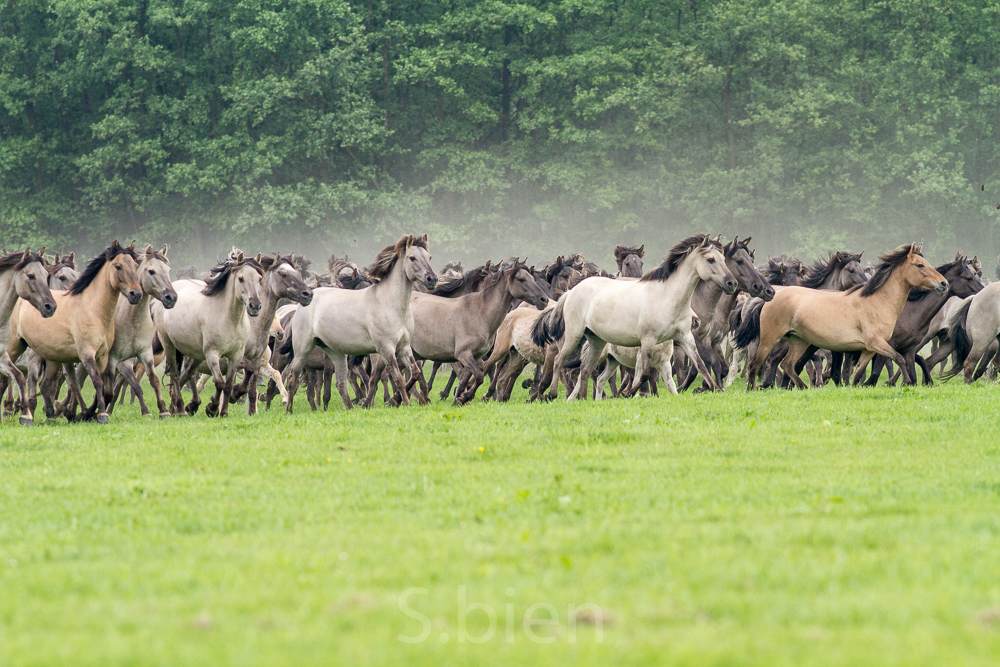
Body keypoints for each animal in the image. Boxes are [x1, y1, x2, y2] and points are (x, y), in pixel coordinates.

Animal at [7, 243, 142, 426]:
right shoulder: (86, 353)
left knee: (45, 383)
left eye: (135, 265)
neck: (93, 309)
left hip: (53, 357)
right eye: (118, 266)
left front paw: (85, 413)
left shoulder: (102, 356)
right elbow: (94, 382)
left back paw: (49, 413)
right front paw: (99, 415)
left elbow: (103, 388)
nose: (136, 294)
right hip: (20, 349)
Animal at [740, 244, 948, 392]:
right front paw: (905, 381)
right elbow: (899, 359)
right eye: (920, 265)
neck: (878, 302)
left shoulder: (868, 349)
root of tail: (770, 297)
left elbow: (857, 373)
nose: (943, 284)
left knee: (788, 365)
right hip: (770, 338)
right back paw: (753, 389)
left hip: (799, 341)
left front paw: (855, 387)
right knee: (755, 364)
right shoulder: (877, 343)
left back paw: (803, 387)